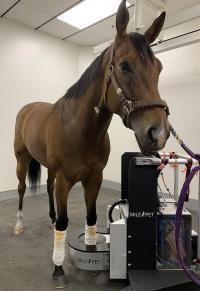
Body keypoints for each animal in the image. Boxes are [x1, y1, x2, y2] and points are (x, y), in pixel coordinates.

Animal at [14, 0, 170, 288]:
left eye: (159, 68)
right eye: (124, 66)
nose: (159, 133)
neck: (81, 130)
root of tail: (28, 108)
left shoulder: (93, 178)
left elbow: (91, 216)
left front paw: (90, 253)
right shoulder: (65, 180)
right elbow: (65, 222)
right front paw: (58, 269)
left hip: (49, 169)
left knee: (48, 186)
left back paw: (49, 220)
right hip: (21, 159)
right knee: (20, 188)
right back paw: (18, 225)